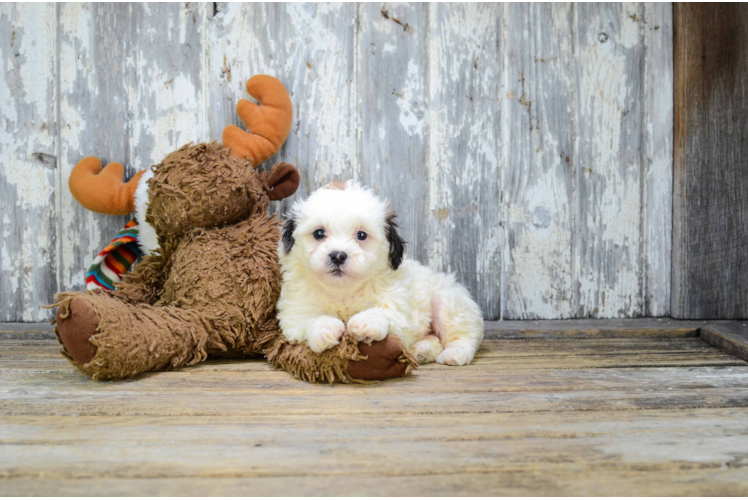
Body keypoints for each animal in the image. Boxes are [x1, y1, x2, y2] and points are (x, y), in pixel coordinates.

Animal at [278, 182, 482, 366]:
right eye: (319, 233)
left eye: (361, 235)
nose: (338, 256)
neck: (343, 290)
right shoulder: (294, 314)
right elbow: (307, 319)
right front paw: (324, 329)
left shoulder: (400, 312)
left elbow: (385, 313)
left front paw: (365, 322)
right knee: (436, 340)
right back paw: (421, 350)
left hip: (448, 299)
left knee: (463, 334)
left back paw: (455, 353)